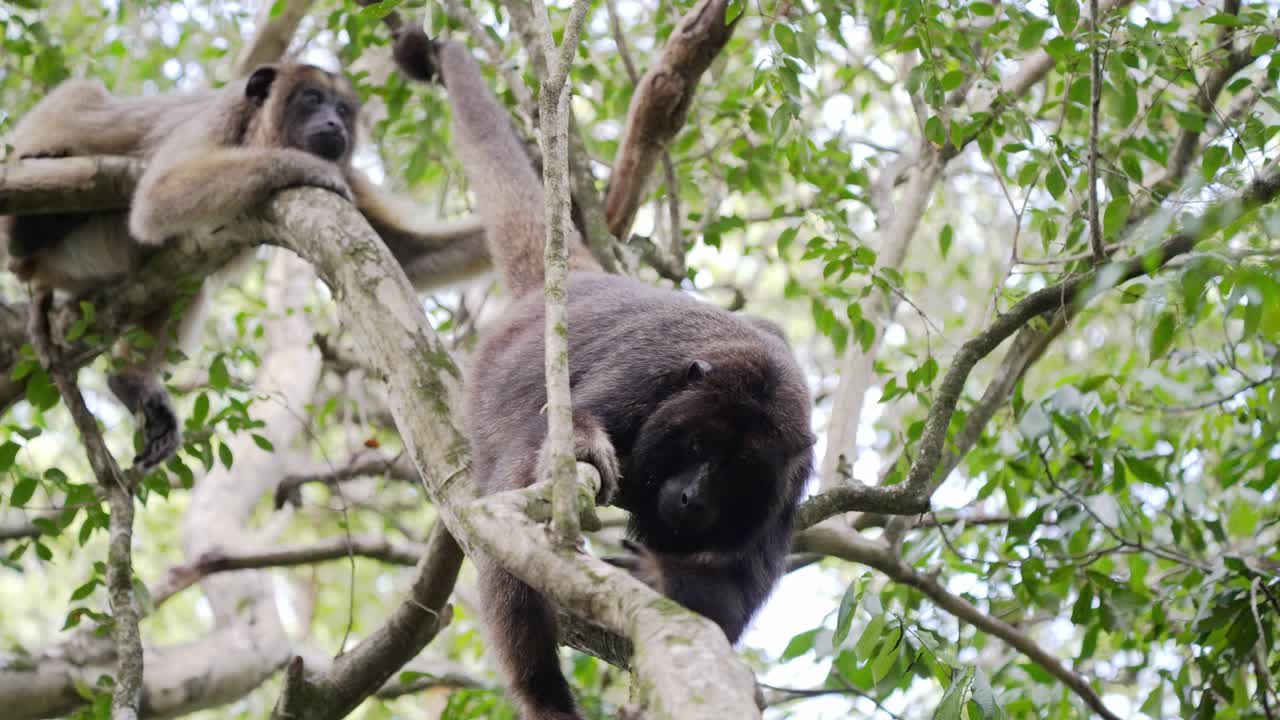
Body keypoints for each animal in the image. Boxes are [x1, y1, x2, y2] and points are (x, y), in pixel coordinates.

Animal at [1, 62, 492, 470]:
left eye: (343, 110)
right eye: (311, 99)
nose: (335, 124)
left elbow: (407, 254)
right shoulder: (221, 116)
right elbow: (157, 196)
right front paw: (302, 165)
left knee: (181, 282)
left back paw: (131, 381)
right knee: (86, 101)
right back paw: (30, 220)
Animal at [394, 28, 815, 720]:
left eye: (734, 473)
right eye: (695, 447)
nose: (693, 496)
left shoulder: (792, 477)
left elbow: (733, 599)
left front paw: (664, 579)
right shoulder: (648, 373)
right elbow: (560, 442)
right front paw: (587, 451)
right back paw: (544, 694)